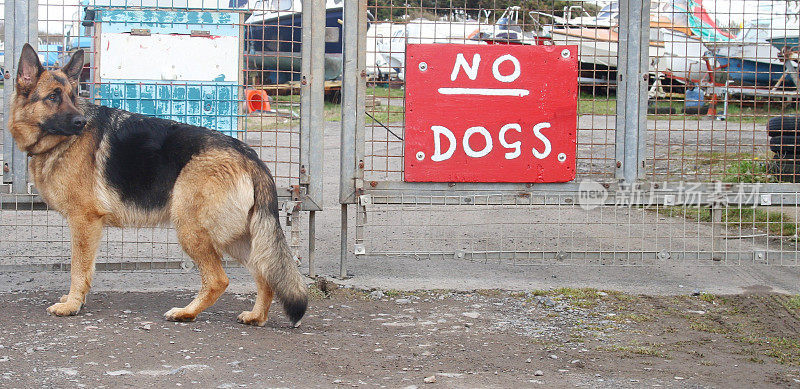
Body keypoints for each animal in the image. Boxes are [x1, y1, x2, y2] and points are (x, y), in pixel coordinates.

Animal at [9, 44, 310, 326]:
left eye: (73, 98)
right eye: (53, 97)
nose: (81, 122)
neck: (56, 144)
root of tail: (250, 156)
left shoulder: (84, 222)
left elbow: (78, 269)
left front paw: (72, 305)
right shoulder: (88, 227)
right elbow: (87, 269)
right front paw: (77, 301)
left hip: (191, 228)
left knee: (218, 279)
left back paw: (186, 313)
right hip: (236, 238)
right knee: (265, 272)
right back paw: (256, 316)